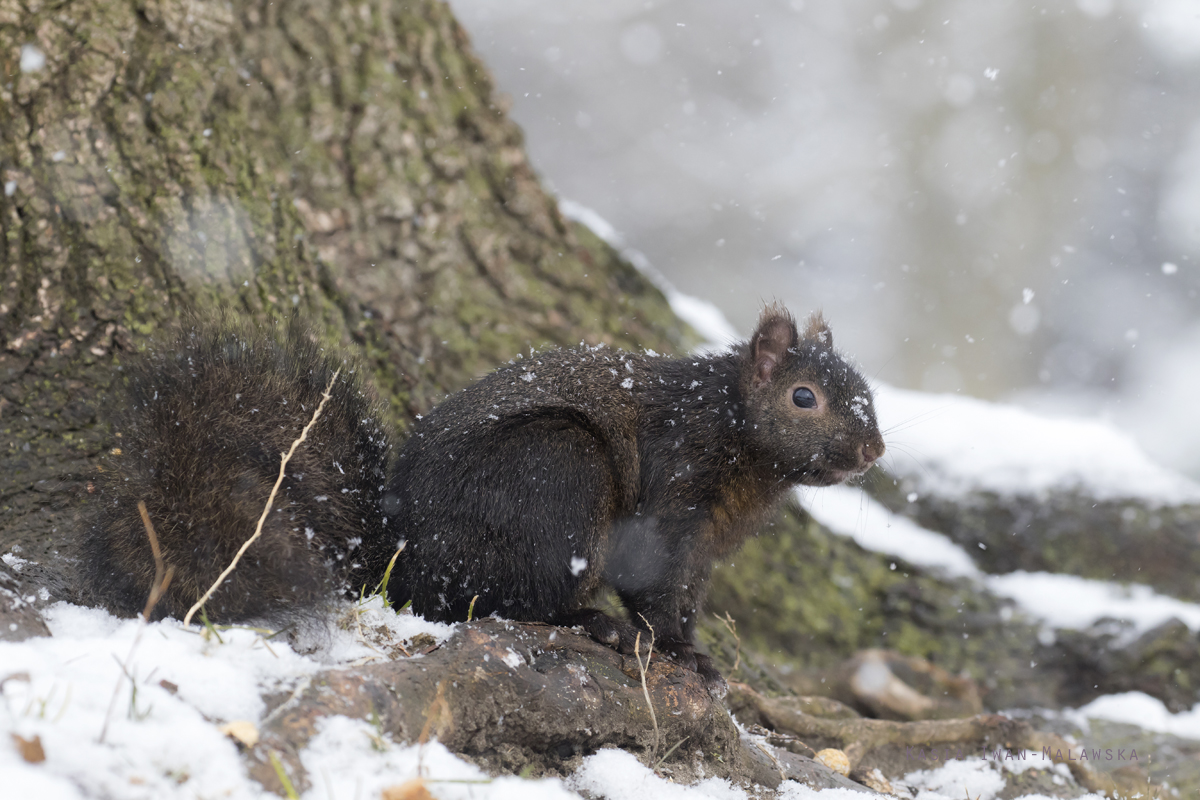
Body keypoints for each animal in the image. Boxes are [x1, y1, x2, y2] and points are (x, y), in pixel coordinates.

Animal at [82, 307, 883, 695]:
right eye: (803, 397)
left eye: (867, 392)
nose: (873, 451)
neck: (733, 433)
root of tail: (403, 564)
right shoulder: (672, 495)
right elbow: (653, 589)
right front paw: (686, 657)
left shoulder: (706, 545)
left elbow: (685, 597)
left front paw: (697, 652)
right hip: (556, 473)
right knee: (505, 602)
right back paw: (593, 624)